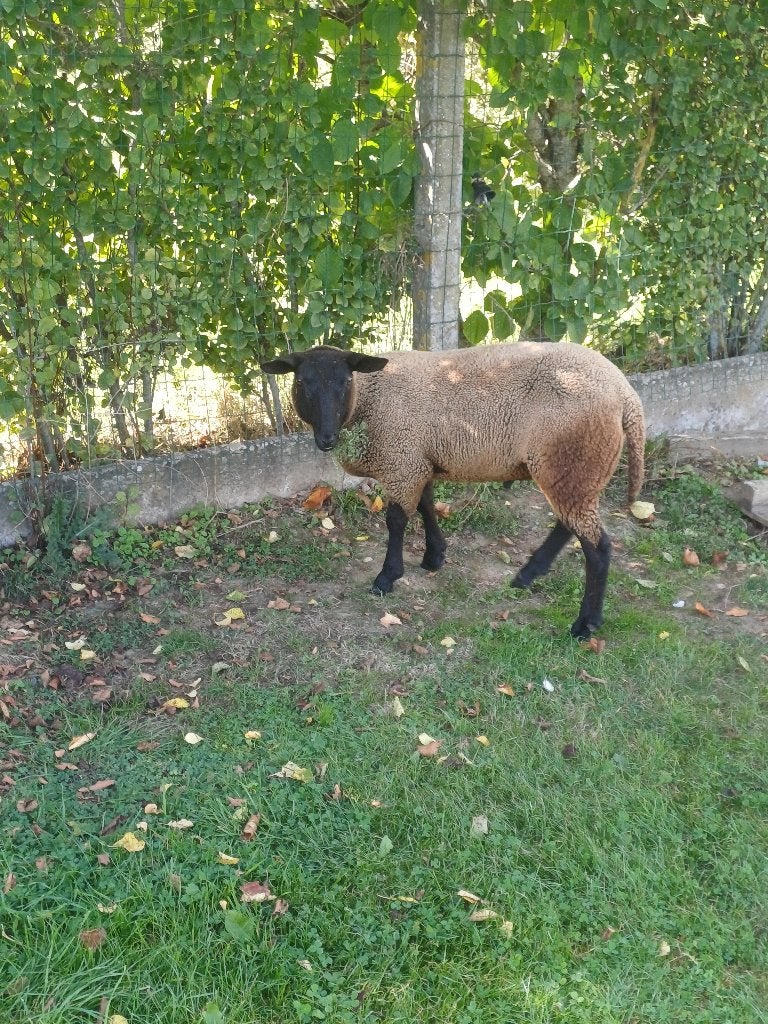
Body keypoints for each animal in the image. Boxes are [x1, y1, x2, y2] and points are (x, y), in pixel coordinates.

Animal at [260, 341, 645, 639]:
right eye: (302, 382)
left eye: (345, 381)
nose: (327, 438)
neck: (368, 400)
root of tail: (627, 396)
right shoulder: (419, 460)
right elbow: (426, 506)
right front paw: (434, 556)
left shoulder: (403, 460)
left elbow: (397, 520)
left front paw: (387, 577)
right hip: (576, 470)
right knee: (569, 523)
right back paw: (528, 574)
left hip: (574, 457)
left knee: (598, 546)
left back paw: (585, 624)